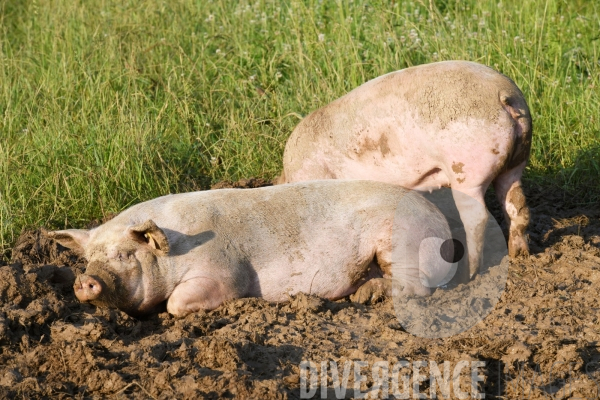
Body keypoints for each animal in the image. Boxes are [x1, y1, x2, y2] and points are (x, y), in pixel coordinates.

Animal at [49, 180, 458, 316]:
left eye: (124, 255)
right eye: (89, 259)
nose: (85, 280)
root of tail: (442, 224)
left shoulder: (222, 271)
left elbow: (176, 304)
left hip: (401, 241)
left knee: (414, 287)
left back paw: (363, 297)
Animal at [278, 60, 532, 278]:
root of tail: (504, 95)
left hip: (467, 169)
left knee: (477, 218)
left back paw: (466, 273)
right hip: (516, 163)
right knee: (517, 206)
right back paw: (519, 255)